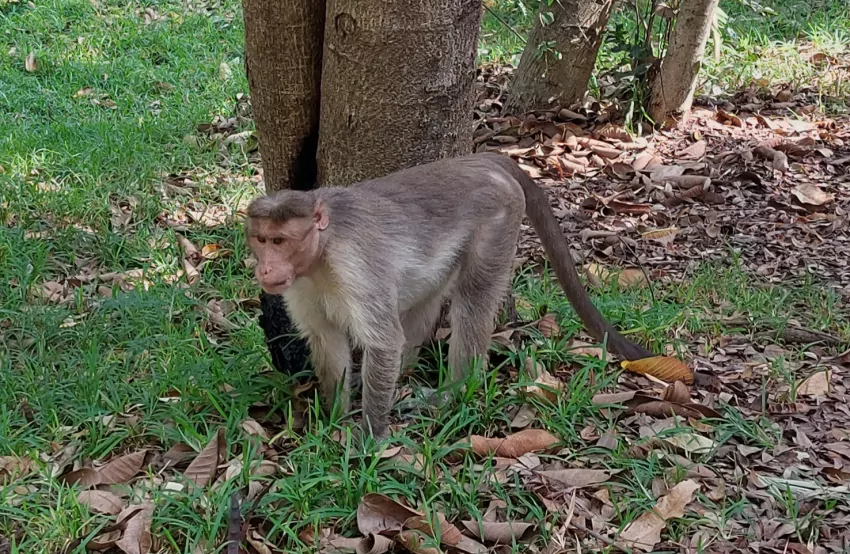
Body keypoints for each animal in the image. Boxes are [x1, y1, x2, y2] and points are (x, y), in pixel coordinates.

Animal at [245, 152, 652, 439]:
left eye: (279, 241)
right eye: (261, 240)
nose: (265, 269)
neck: (321, 253)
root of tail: (481, 161)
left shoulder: (355, 265)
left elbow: (383, 341)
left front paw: (369, 440)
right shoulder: (300, 284)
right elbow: (327, 341)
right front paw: (333, 419)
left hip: (498, 219)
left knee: (472, 300)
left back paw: (454, 391)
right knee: (423, 303)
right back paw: (406, 376)